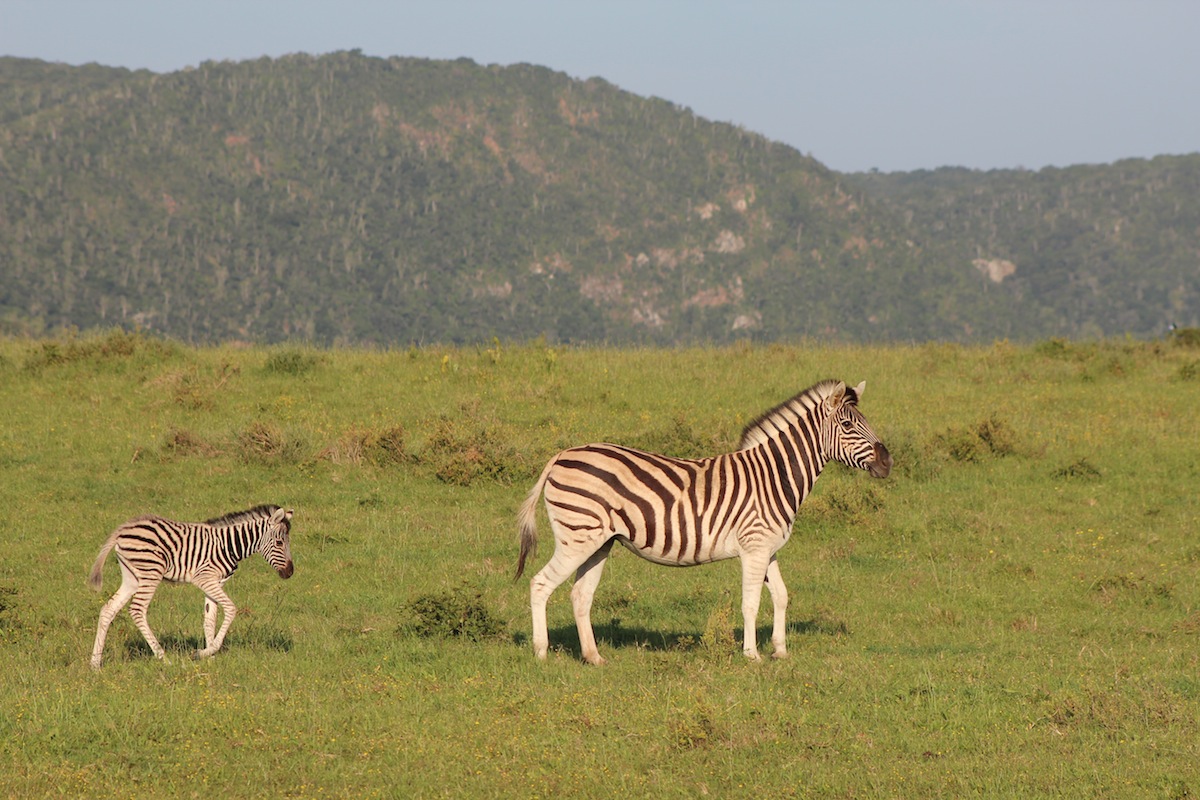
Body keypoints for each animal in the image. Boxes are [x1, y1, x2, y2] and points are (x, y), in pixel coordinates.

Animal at [87, 506, 295, 671]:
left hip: (132, 577)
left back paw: (95, 664)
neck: (229, 544)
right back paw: (164, 659)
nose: (290, 572)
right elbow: (231, 609)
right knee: (137, 610)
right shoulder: (204, 578)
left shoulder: (215, 582)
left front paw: (210, 658)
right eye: (279, 543)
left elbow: (209, 620)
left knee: (108, 609)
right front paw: (203, 653)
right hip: (151, 572)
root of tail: (123, 529)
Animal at [516, 381, 892, 662]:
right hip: (577, 537)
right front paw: (752, 655)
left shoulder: (768, 549)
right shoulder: (754, 547)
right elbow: (751, 602)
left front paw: (780, 651)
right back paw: (541, 653)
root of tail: (562, 455)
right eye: (848, 425)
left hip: (599, 542)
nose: (888, 462)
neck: (774, 476)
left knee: (580, 595)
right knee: (540, 584)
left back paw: (594, 657)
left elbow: (782, 596)